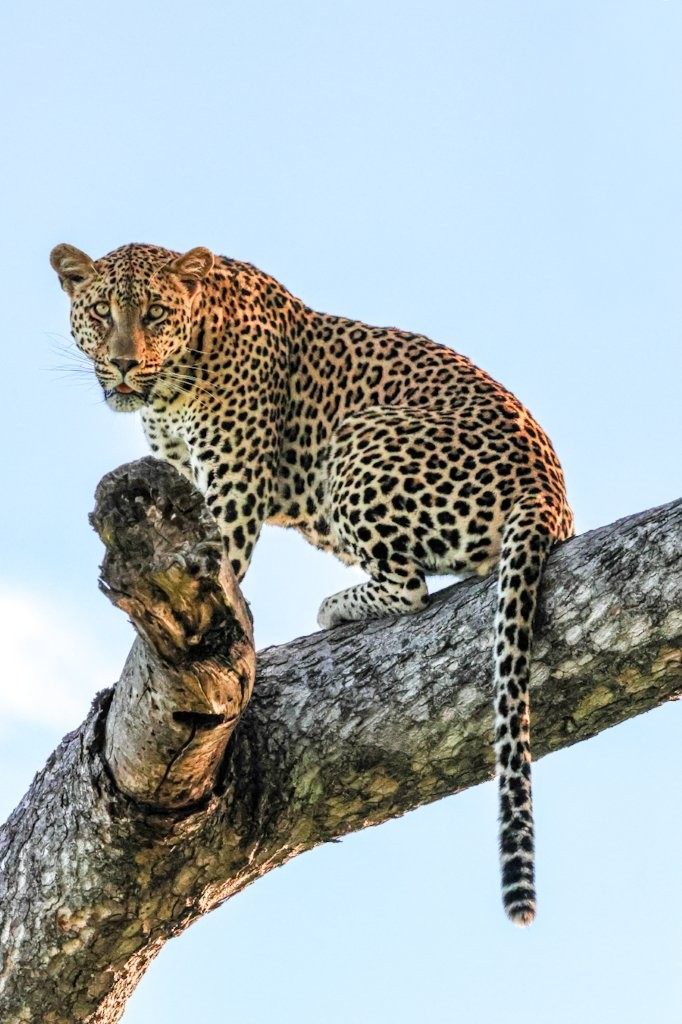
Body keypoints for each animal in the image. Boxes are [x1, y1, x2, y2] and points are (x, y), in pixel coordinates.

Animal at [50, 241, 574, 926]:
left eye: (156, 313)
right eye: (102, 313)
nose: (122, 363)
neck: (173, 384)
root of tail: (550, 496)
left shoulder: (231, 496)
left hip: (359, 436)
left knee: (409, 585)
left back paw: (337, 605)